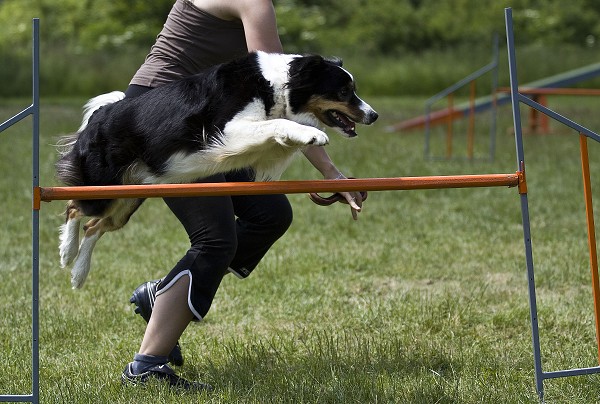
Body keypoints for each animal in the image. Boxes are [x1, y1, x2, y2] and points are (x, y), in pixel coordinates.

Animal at [58, 52, 382, 288]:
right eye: (344, 91)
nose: (374, 115)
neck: (275, 88)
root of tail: (99, 115)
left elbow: (277, 132)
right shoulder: (228, 129)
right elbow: (277, 123)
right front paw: (312, 134)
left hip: (129, 196)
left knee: (94, 225)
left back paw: (78, 273)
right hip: (103, 187)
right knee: (74, 206)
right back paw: (66, 253)